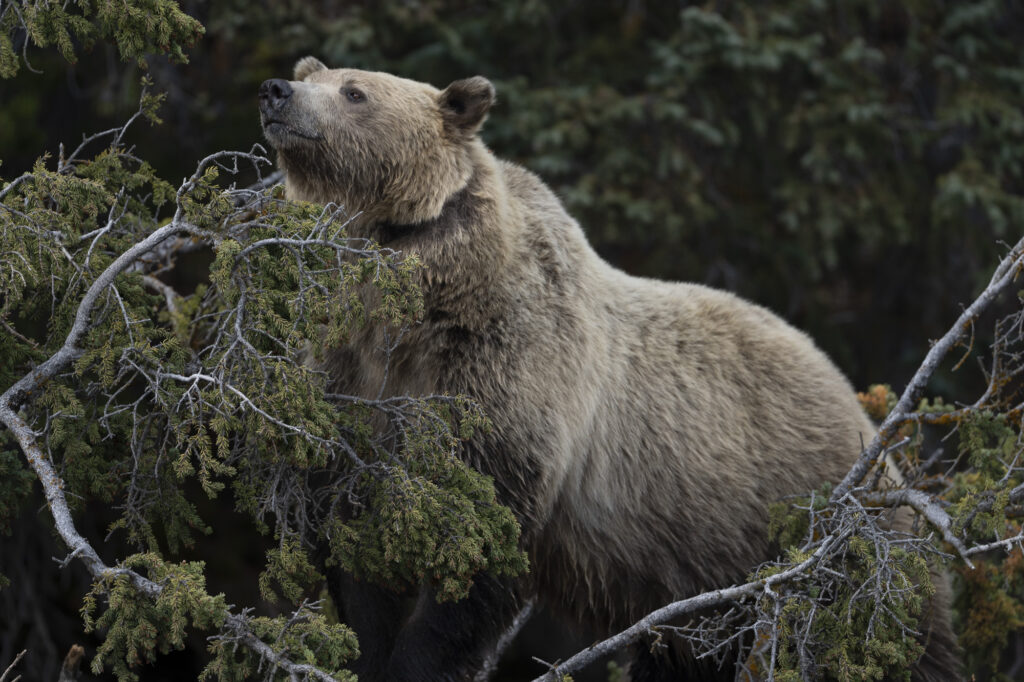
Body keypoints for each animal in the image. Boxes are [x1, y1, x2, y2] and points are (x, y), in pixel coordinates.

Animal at [257, 57, 960, 681]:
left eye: (355, 91)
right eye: (315, 73)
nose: (276, 92)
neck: (413, 311)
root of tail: (856, 404)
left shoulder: (507, 381)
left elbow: (480, 554)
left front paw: (420, 661)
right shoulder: (352, 391)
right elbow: (357, 554)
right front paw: (366, 653)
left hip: (816, 515)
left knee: (899, 634)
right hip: (699, 576)